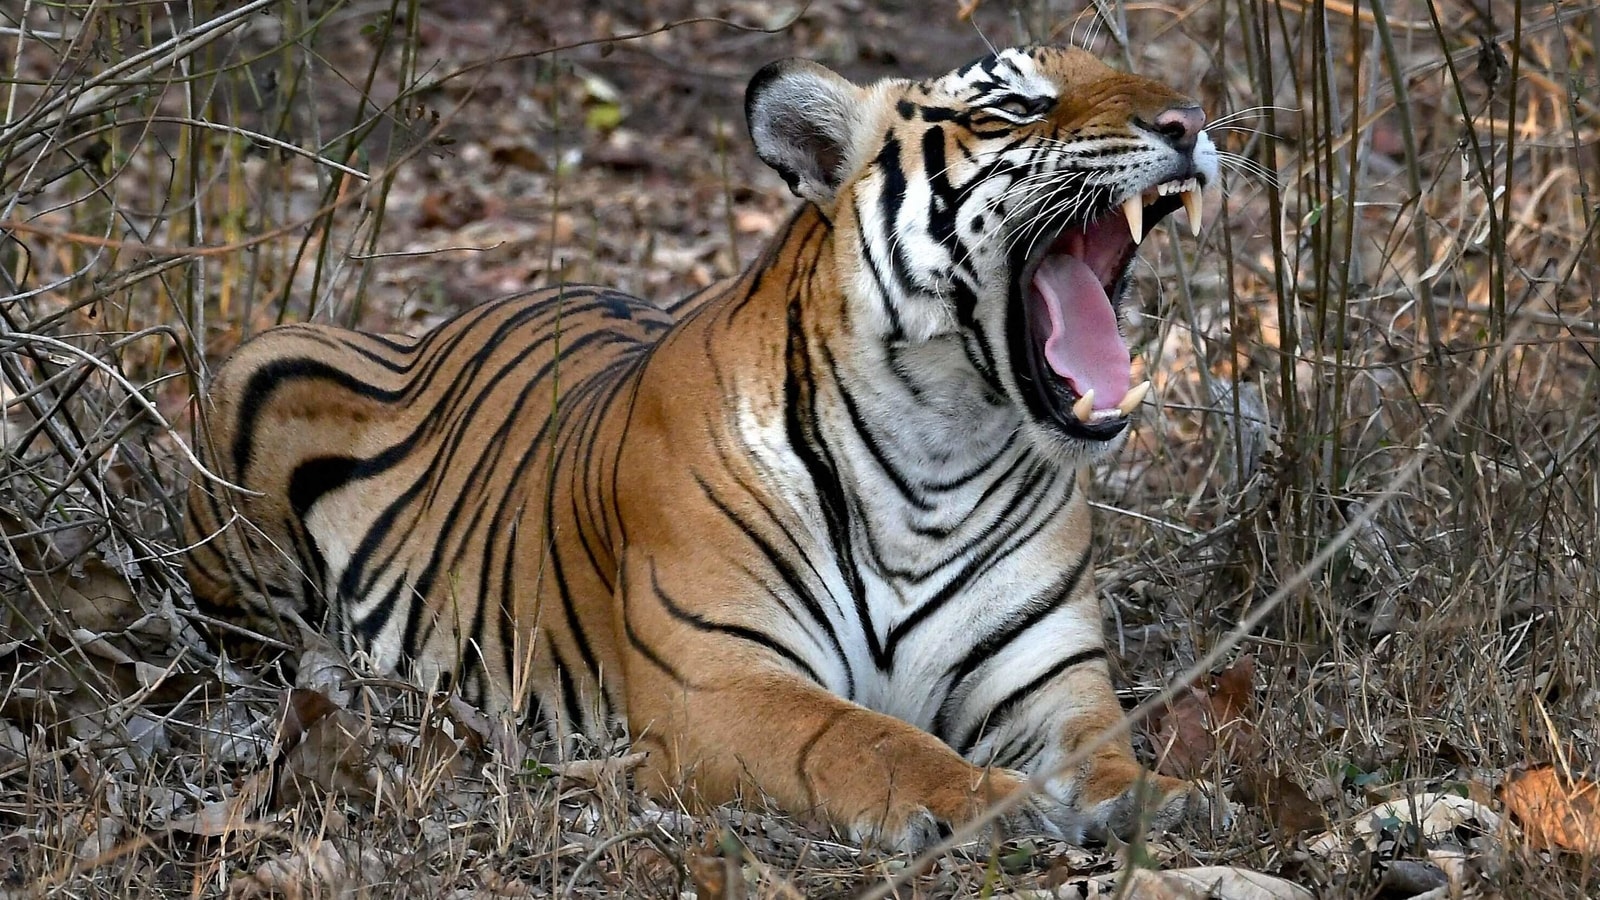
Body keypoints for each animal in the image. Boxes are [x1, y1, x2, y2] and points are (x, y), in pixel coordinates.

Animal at [181, 45, 1216, 845]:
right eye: (1014, 105)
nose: (1194, 117)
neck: (943, 448)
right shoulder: (721, 679)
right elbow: (866, 739)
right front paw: (986, 802)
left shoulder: (1046, 677)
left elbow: (1105, 747)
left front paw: (1160, 798)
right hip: (255, 387)